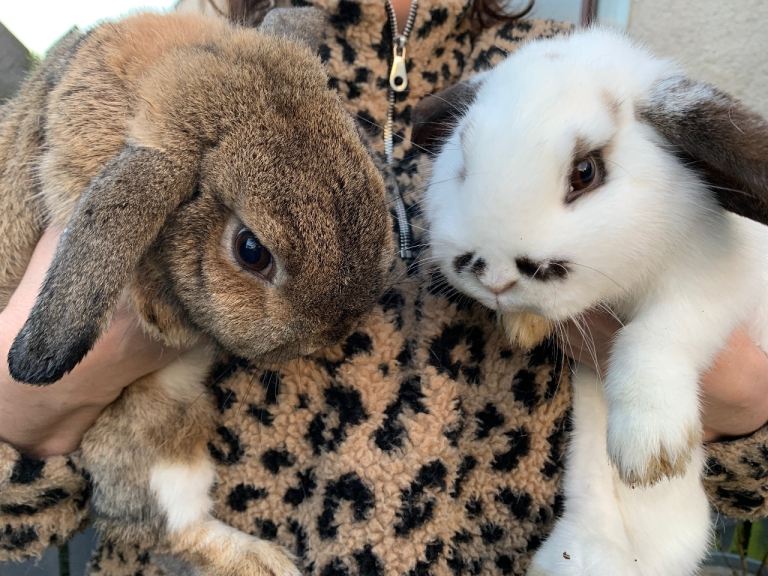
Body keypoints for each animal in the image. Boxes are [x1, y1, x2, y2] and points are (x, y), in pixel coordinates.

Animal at [415, 28, 768, 575]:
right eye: (463, 163)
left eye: (585, 171)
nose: (493, 274)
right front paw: (523, 325)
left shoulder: (717, 281)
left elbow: (658, 333)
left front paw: (650, 449)